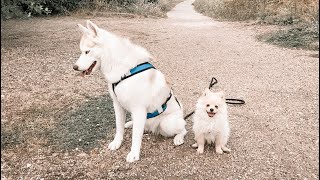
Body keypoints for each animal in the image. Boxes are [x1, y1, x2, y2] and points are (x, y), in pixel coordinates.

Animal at [72, 20, 188, 162]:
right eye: (81, 51)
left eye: (87, 52)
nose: (74, 67)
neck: (123, 70)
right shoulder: (117, 105)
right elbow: (119, 127)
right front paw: (117, 142)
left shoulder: (138, 109)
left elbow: (136, 136)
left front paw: (134, 154)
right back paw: (130, 124)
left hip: (167, 124)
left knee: (183, 129)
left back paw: (178, 138)